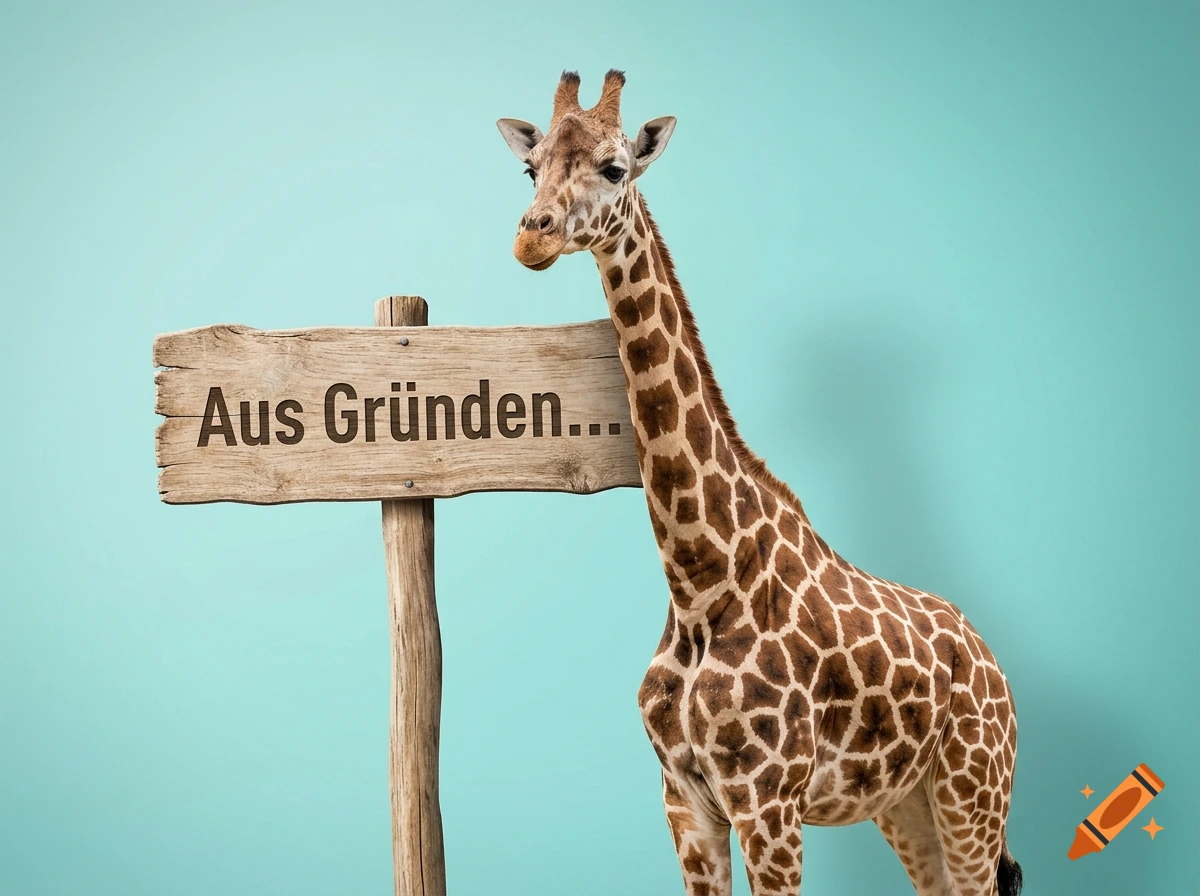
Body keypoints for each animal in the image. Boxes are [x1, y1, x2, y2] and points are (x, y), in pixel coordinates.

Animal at [496, 70, 1023, 896]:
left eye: (615, 168)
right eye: (531, 168)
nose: (532, 236)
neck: (700, 581)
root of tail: (994, 660)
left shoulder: (769, 802)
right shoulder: (685, 800)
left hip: (974, 790)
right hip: (905, 804)